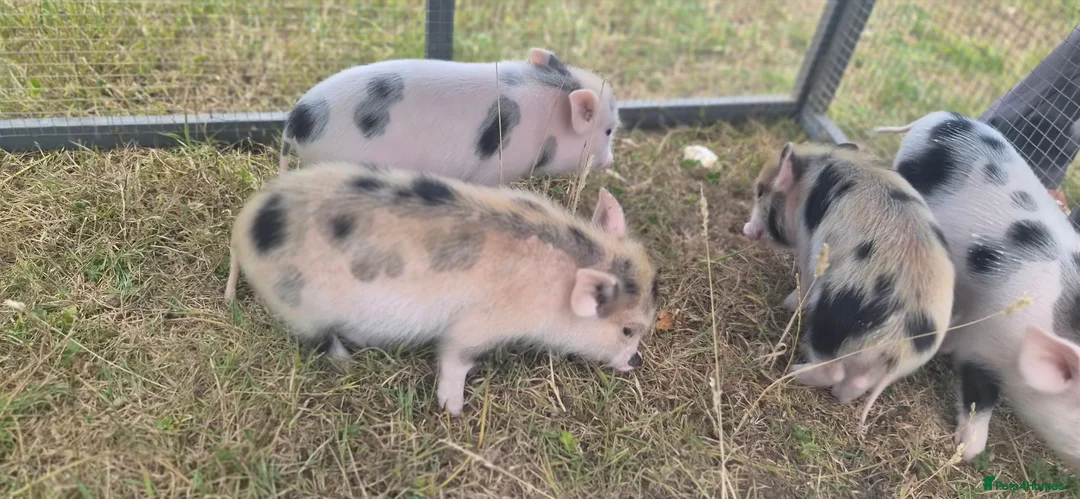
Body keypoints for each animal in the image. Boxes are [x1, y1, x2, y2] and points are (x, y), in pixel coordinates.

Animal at [223, 162, 658, 416]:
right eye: (626, 330)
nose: (636, 362)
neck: (553, 289)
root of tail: (243, 228)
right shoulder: (479, 324)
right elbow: (455, 358)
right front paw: (454, 411)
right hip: (301, 306)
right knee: (321, 340)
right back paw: (349, 361)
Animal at [743, 141, 955, 428]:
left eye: (760, 191)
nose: (746, 229)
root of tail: (900, 347)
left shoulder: (809, 245)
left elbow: (805, 279)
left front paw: (786, 304)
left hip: (830, 325)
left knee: (831, 369)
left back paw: (793, 371)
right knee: (856, 382)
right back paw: (837, 394)